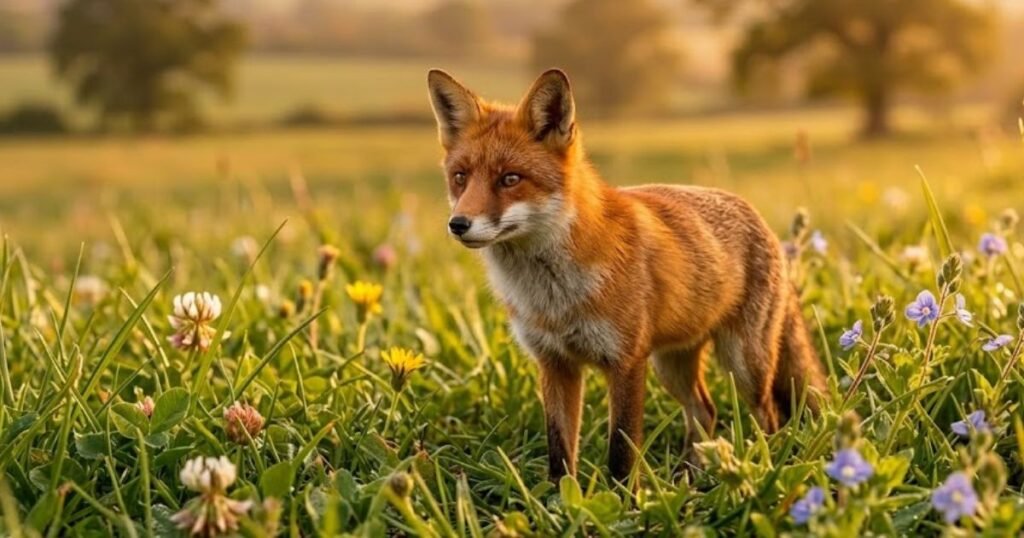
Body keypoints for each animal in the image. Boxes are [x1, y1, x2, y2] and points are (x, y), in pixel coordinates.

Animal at [426, 68, 827, 483]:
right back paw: (688, 478)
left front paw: (623, 497)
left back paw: (766, 468)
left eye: (509, 179)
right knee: (705, 411)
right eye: (460, 177)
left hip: (743, 364)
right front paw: (559, 496)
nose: (458, 224)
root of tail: (760, 219)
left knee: (769, 415)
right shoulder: (554, 363)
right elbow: (559, 450)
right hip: (672, 365)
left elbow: (621, 450)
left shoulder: (626, 362)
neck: (554, 298)